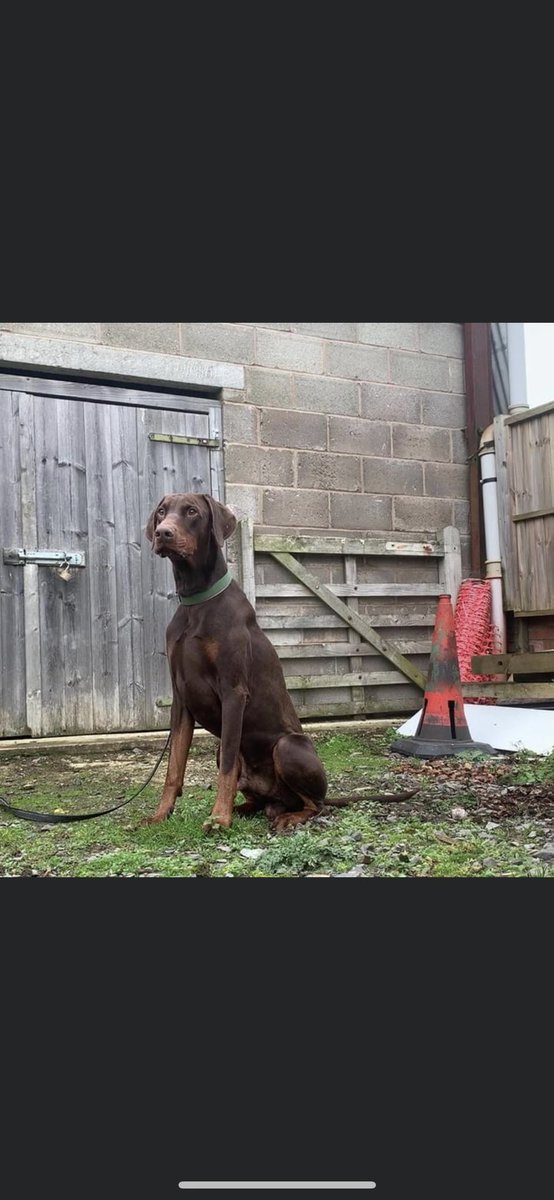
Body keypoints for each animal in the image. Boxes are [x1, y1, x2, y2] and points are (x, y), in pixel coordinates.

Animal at [145, 492, 417, 830]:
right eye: (161, 512)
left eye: (192, 511)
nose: (163, 533)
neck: (197, 601)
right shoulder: (182, 699)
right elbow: (173, 768)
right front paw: (160, 814)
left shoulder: (233, 692)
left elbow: (226, 769)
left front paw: (219, 818)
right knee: (259, 798)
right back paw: (247, 808)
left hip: (289, 747)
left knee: (315, 804)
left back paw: (286, 816)